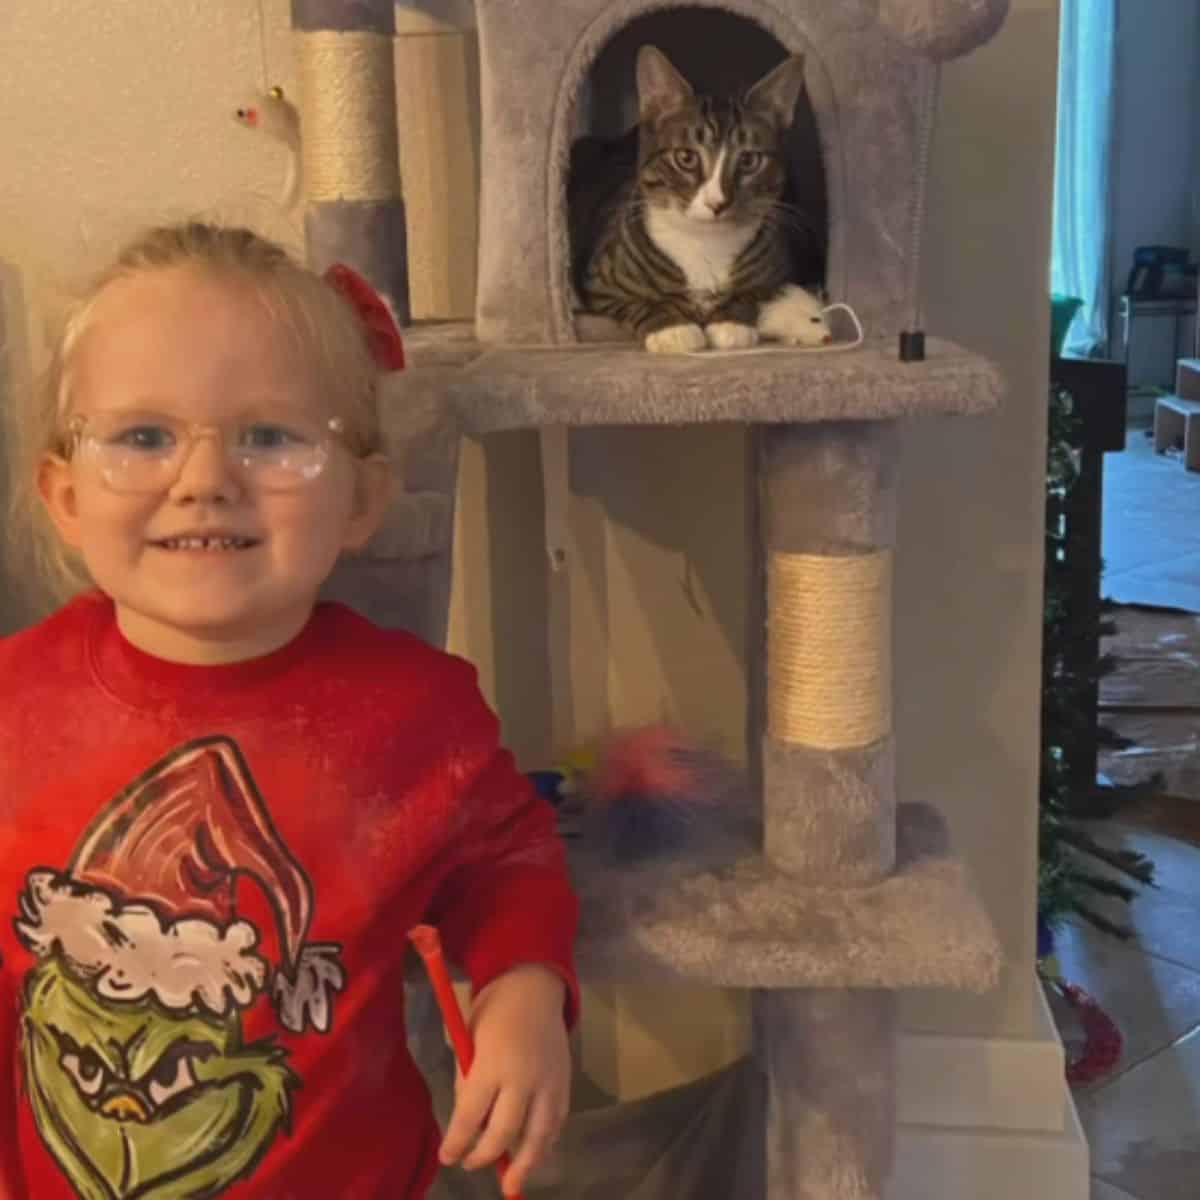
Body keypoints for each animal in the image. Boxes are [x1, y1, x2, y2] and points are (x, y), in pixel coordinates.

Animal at [571, 48, 825, 355]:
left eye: (749, 160)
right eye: (686, 157)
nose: (717, 202)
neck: (704, 243)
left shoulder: (780, 270)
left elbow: (756, 293)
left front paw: (731, 322)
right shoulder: (601, 282)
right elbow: (641, 302)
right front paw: (673, 328)